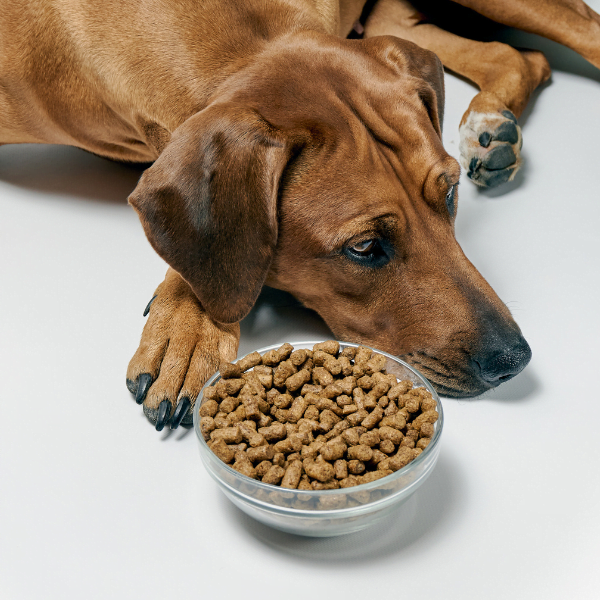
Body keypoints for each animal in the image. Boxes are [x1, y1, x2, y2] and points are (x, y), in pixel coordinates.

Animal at [1, 2, 596, 428]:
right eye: (364, 248)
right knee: (519, 55)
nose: (514, 359)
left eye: (448, 196)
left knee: (577, 29)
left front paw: (187, 323)